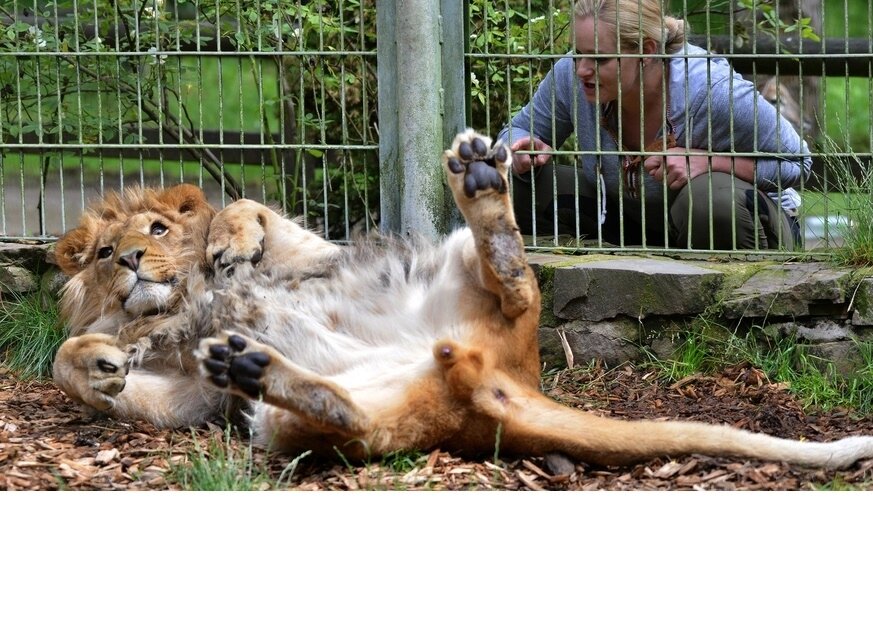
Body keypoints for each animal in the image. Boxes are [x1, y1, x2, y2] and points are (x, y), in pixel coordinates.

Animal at [51, 132, 872, 470]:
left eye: (157, 230)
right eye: (104, 253)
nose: (131, 260)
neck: (183, 303)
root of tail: (505, 379)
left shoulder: (315, 255)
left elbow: (250, 209)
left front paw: (228, 238)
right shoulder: (193, 398)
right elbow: (80, 366)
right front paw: (99, 364)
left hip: (447, 267)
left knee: (522, 290)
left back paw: (483, 185)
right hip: (288, 423)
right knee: (353, 423)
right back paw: (258, 366)